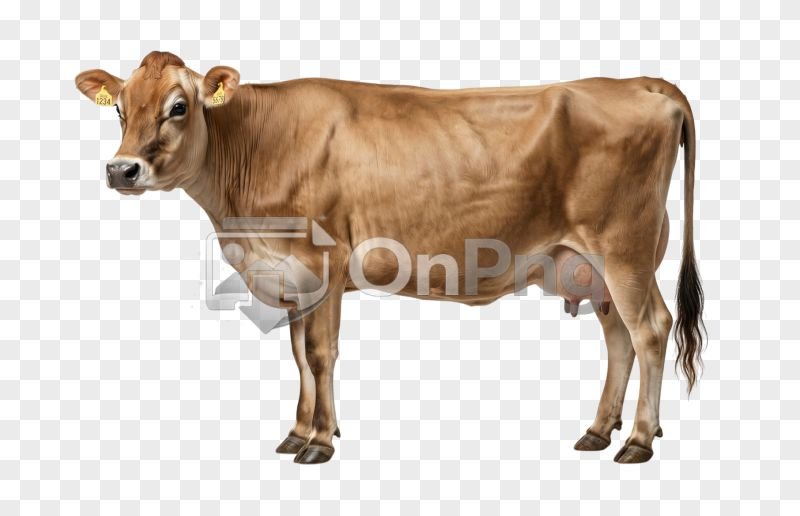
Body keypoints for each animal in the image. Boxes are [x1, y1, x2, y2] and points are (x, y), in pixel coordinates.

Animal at [75, 51, 704, 464]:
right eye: (120, 109)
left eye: (179, 106)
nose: (121, 170)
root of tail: (643, 83)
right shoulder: (291, 273)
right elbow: (299, 357)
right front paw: (298, 432)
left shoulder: (323, 264)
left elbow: (320, 355)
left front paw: (319, 442)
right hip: (590, 262)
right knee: (619, 336)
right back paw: (599, 430)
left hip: (624, 249)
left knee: (650, 329)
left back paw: (638, 440)